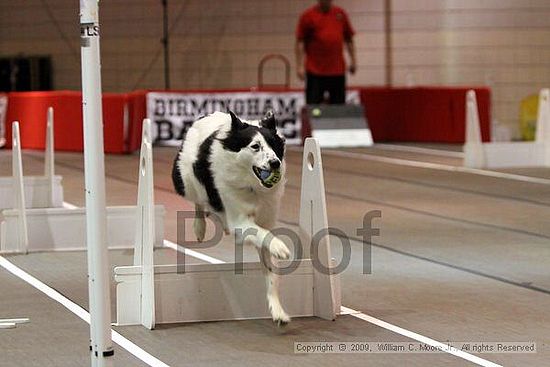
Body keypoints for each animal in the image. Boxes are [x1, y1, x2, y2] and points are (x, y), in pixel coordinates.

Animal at [172, 110, 294, 324]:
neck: (253, 187)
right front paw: (280, 248)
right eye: (255, 146)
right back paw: (199, 228)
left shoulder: (265, 218)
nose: (275, 163)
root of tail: (206, 115)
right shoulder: (239, 220)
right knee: (198, 200)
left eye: (274, 145)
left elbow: (271, 272)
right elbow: (263, 234)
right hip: (185, 181)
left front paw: (278, 311)